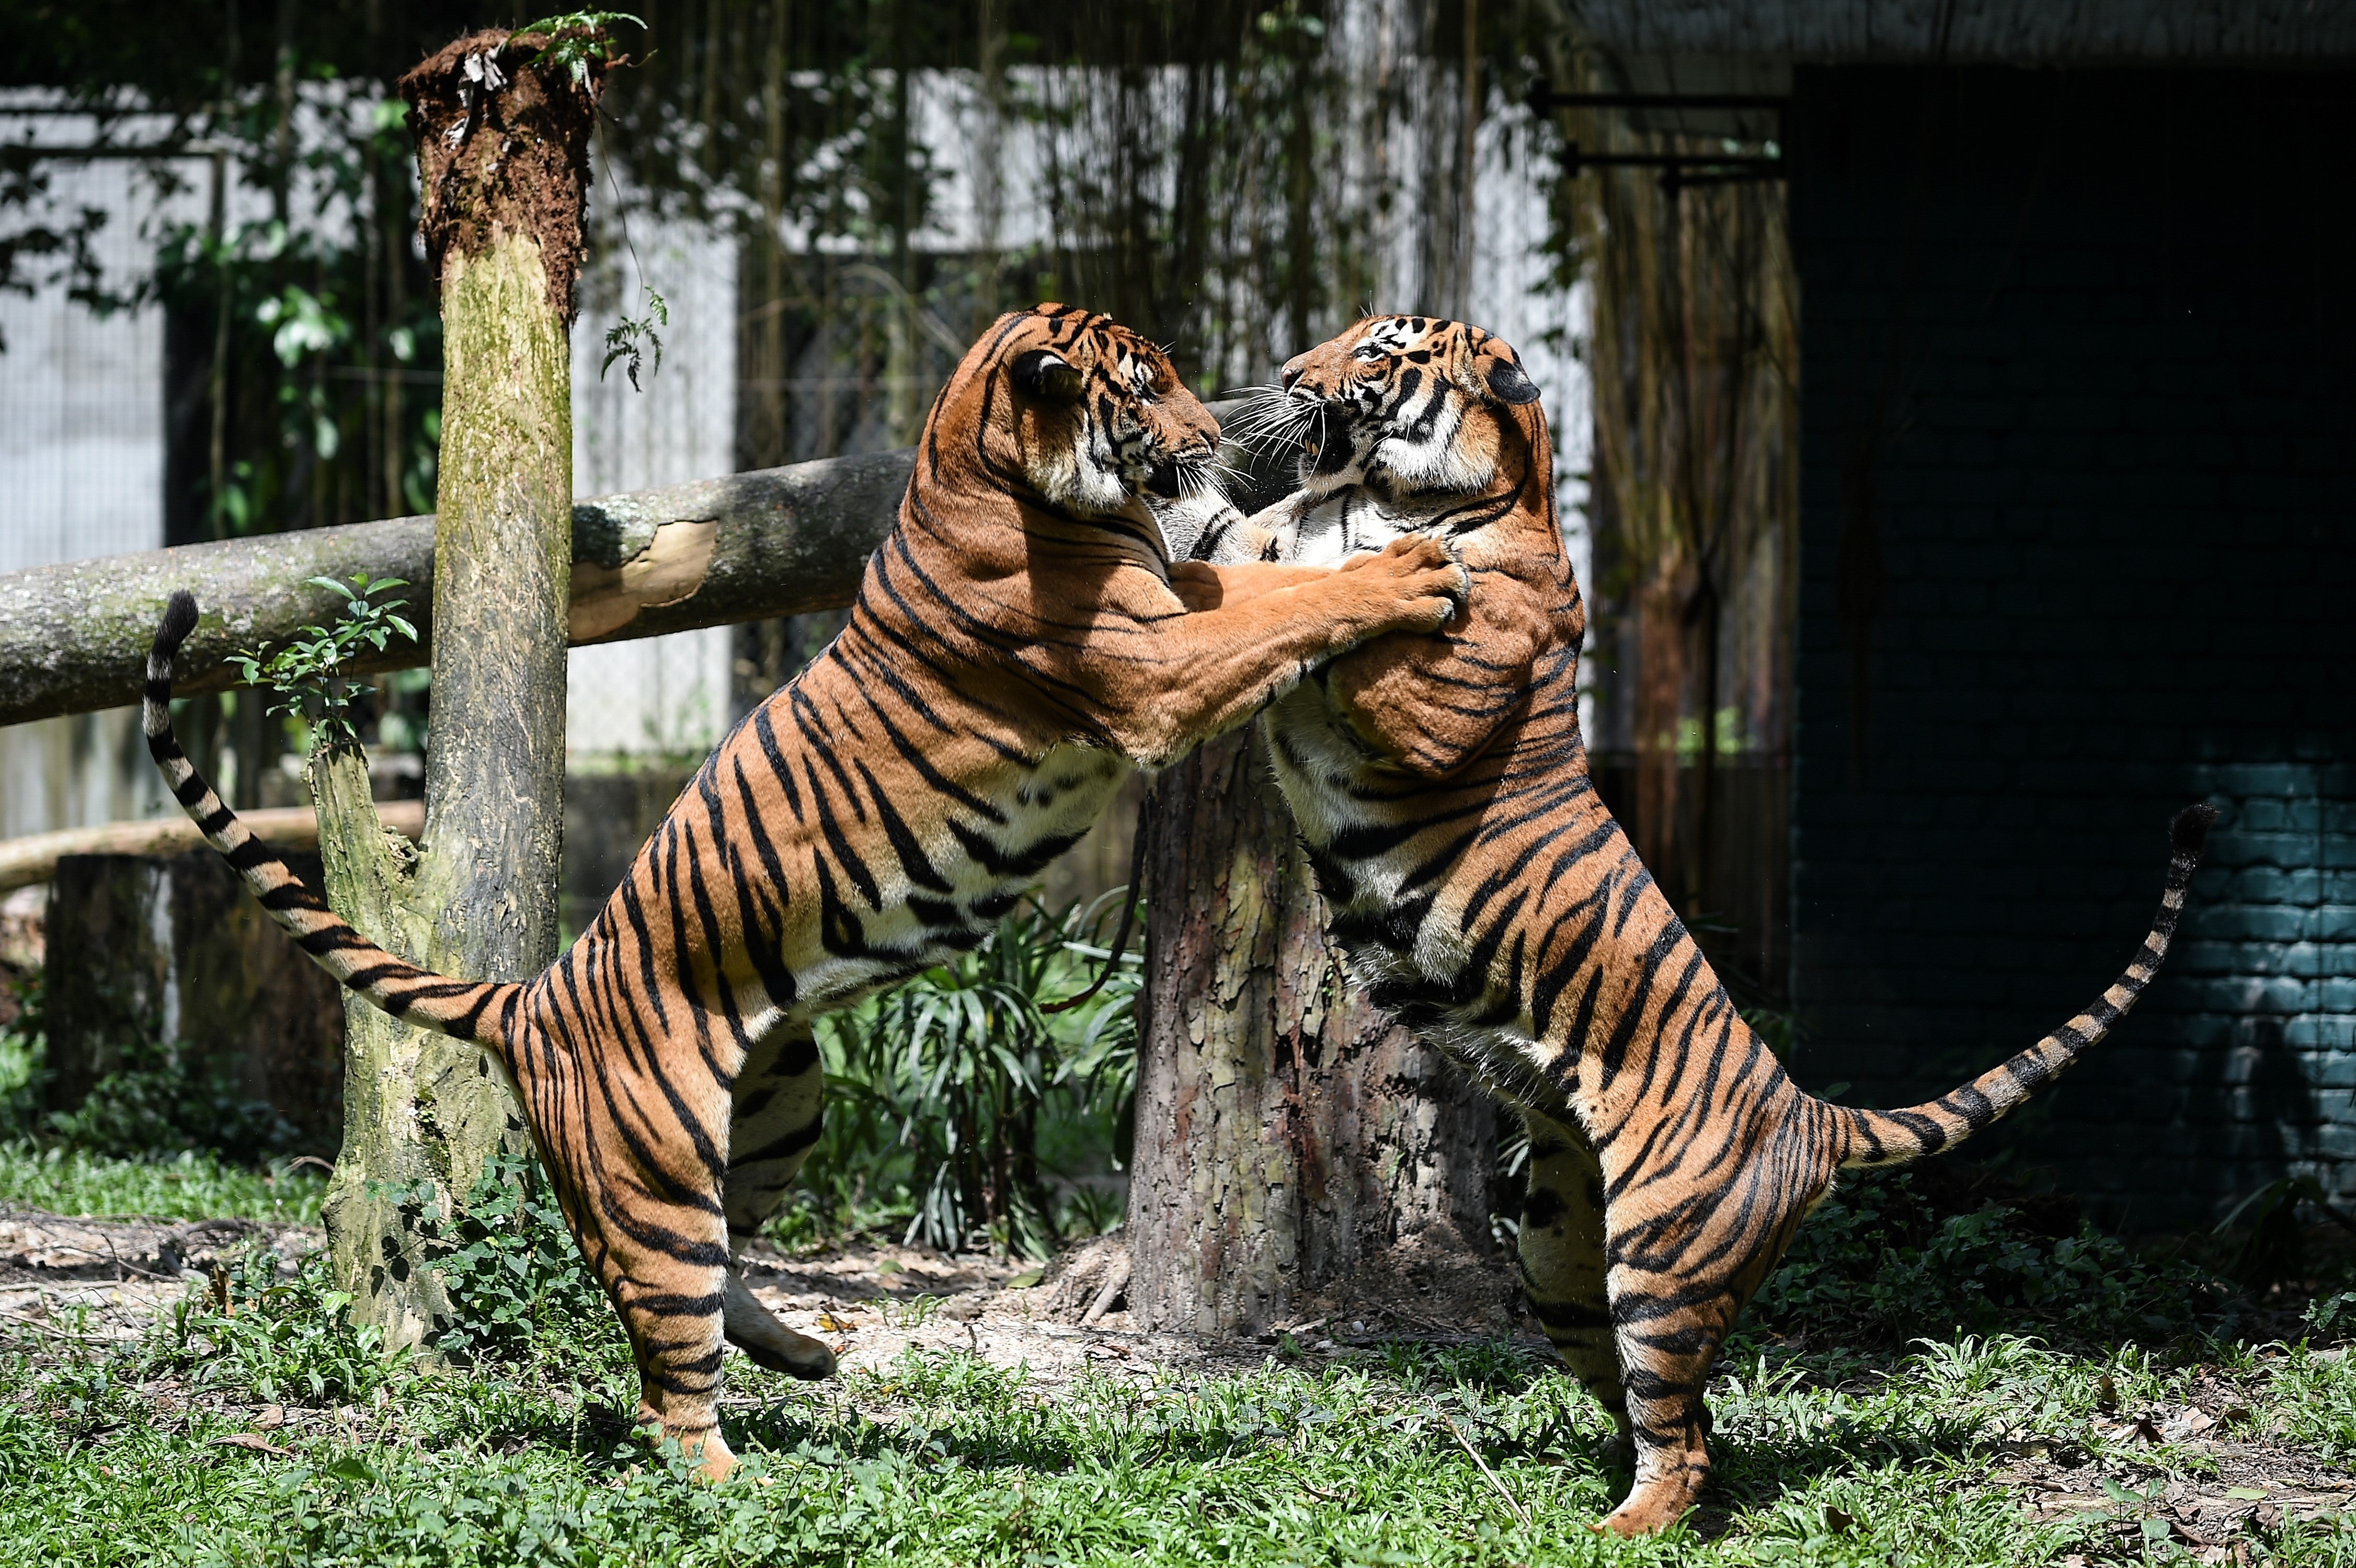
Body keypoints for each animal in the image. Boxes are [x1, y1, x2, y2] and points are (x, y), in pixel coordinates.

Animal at [142, 303, 1472, 1481]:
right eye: (1142, 390)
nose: (1213, 431)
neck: (978, 465)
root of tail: (532, 996)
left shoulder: (1179, 594)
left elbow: (1267, 568)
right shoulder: (1153, 660)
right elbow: (1290, 603)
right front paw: (1408, 570)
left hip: (780, 1108)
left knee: (724, 1270)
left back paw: (804, 1356)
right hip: (656, 1172)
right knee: (669, 1364)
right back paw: (739, 1477)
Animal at [1192, 313, 2214, 1535]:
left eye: (1379, 352)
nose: (1289, 376)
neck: (1387, 493)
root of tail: (1812, 1116)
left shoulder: (1432, 705)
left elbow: (1359, 617)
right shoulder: (1265, 547)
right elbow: (1228, 548)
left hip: (1660, 1261)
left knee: (1680, 1443)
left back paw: (1615, 1531)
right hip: (1559, 1257)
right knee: (1685, 1424)